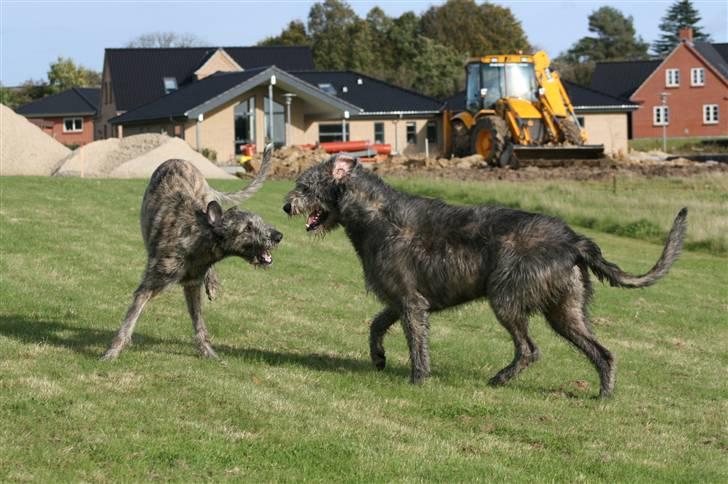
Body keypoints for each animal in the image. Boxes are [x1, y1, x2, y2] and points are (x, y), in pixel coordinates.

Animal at [101, 144, 282, 360]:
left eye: (260, 222)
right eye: (247, 228)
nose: (278, 236)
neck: (199, 238)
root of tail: (179, 159)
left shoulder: (192, 285)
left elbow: (199, 323)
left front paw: (209, 352)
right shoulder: (150, 285)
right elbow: (130, 320)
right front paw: (112, 352)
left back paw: (212, 281)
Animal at [284, 155, 688, 398]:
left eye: (306, 186)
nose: (287, 205)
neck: (374, 216)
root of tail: (573, 239)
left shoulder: (412, 303)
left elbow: (416, 344)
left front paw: (418, 380)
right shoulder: (400, 299)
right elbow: (376, 324)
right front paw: (379, 358)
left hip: (506, 299)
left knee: (530, 349)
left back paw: (500, 378)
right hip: (566, 310)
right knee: (603, 352)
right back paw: (603, 394)